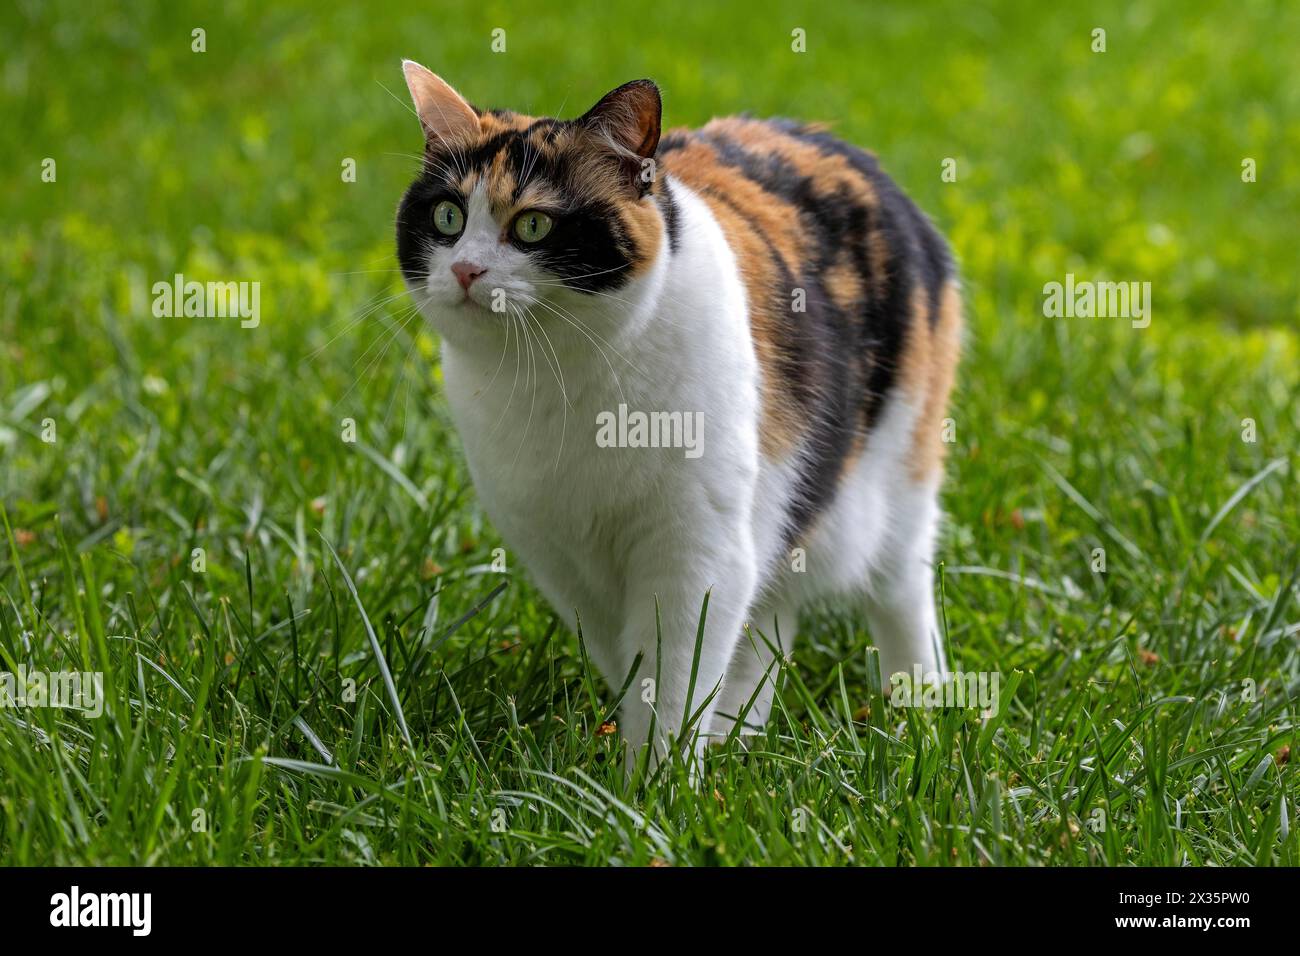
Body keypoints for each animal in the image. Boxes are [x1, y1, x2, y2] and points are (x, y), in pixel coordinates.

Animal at [395, 59, 967, 764]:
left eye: (532, 225)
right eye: (448, 216)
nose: (467, 270)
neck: (560, 382)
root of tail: (849, 151)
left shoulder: (697, 547)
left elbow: (671, 676)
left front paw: (657, 783)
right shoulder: (559, 556)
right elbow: (631, 661)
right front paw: (652, 763)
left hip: (895, 475)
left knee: (900, 588)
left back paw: (920, 714)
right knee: (767, 622)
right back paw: (737, 741)